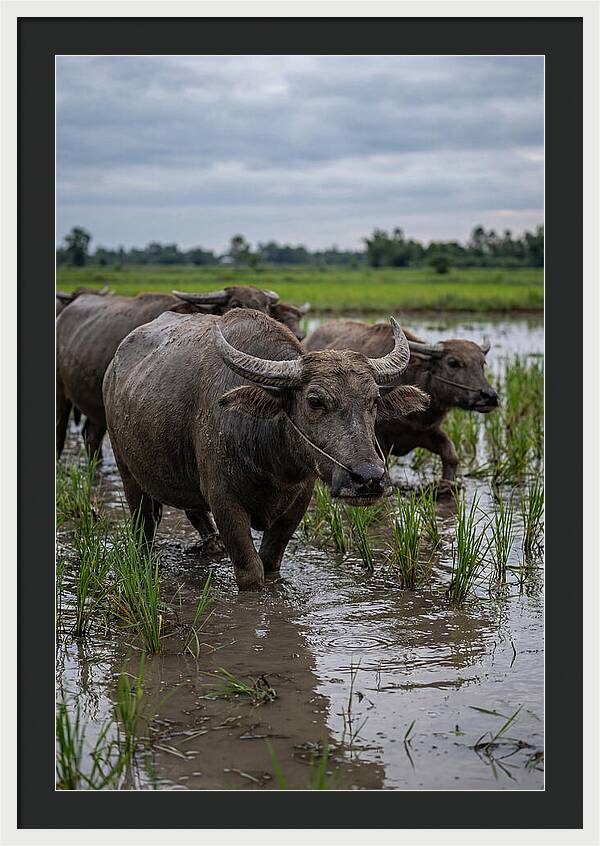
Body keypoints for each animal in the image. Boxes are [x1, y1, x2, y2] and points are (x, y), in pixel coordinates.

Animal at [103, 309, 429, 590]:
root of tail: (113, 369)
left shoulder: (298, 502)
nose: (368, 478)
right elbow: (251, 572)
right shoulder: (224, 501)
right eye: (314, 401)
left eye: (374, 400)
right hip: (127, 471)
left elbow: (270, 563)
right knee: (143, 526)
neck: (272, 462)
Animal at [305, 320, 498, 483]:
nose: (490, 396)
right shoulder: (378, 439)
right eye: (453, 362)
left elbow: (451, 455)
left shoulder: (427, 432)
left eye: (482, 363)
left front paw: (447, 484)